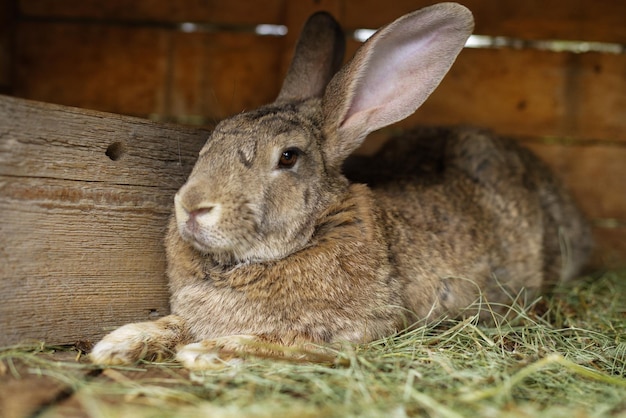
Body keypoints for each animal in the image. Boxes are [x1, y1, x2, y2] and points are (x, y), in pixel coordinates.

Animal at [89, 3, 588, 370]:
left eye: (288, 157)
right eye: (212, 141)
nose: (192, 207)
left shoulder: (356, 329)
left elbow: (282, 341)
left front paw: (209, 352)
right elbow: (173, 323)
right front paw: (117, 344)